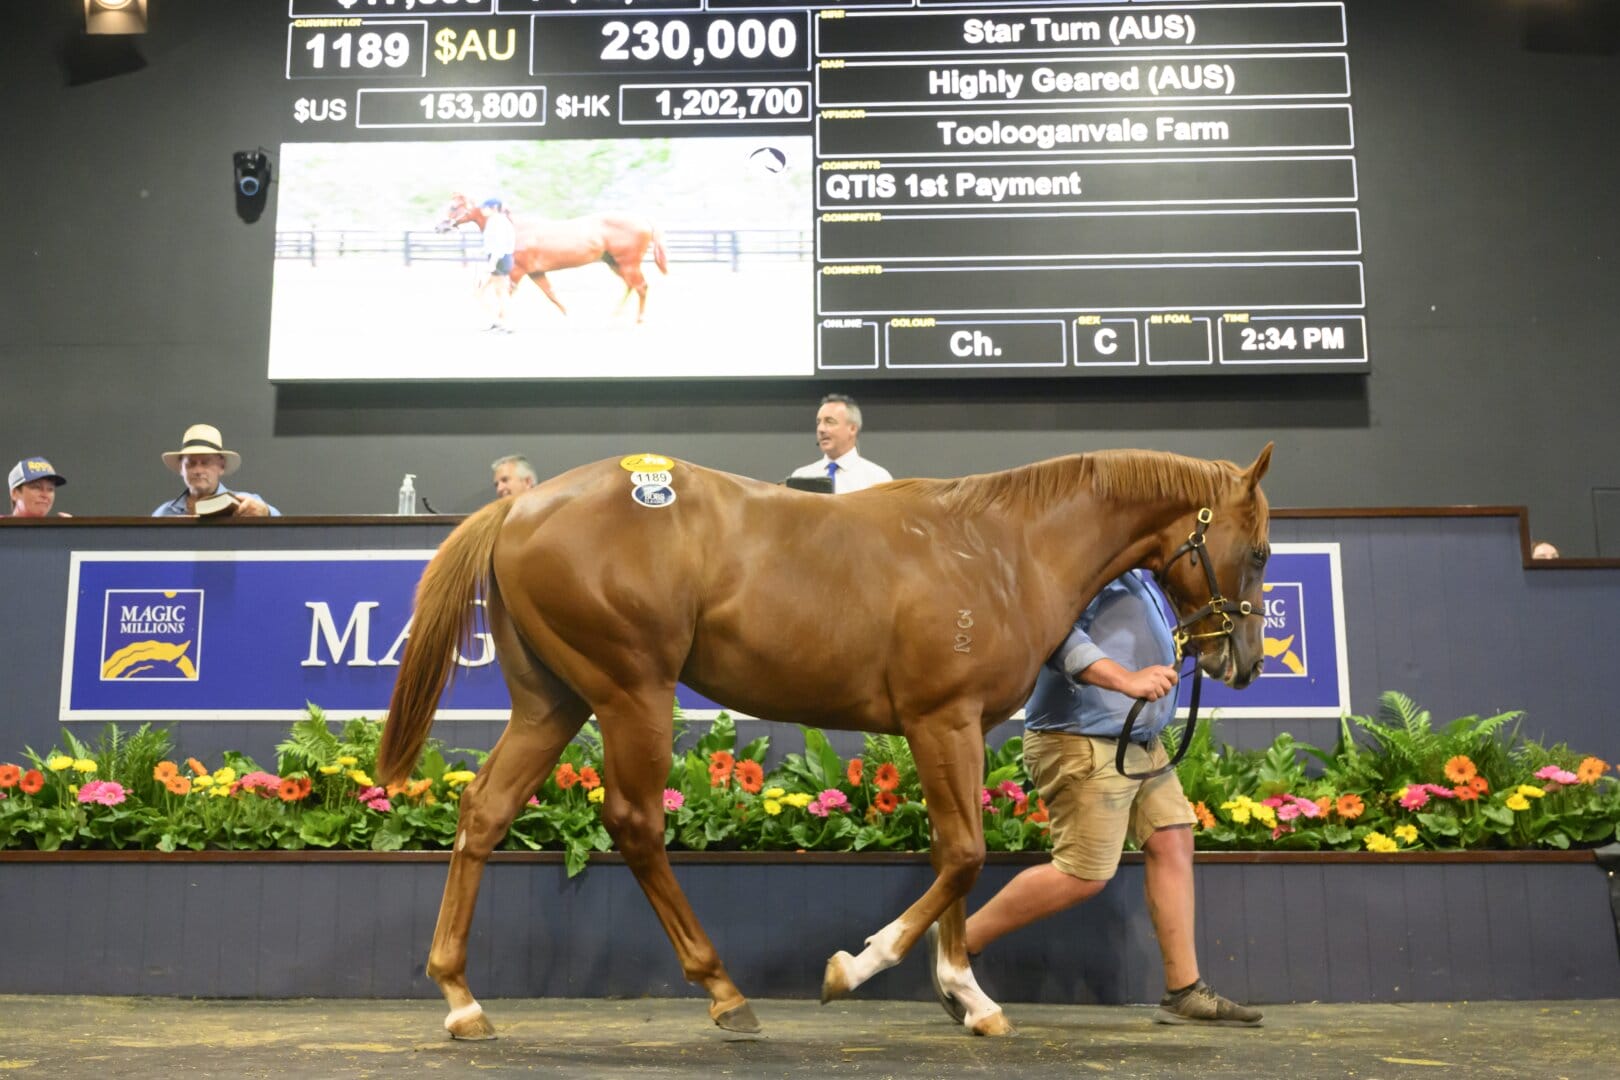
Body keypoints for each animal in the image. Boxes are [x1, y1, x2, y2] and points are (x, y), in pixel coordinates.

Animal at [372, 446, 1270, 1036]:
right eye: (1258, 549)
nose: (1244, 660)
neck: (1001, 549)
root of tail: (519, 507)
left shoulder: (962, 727)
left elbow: (957, 854)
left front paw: (968, 995)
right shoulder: (940, 718)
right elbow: (964, 856)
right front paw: (857, 967)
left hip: (550, 702)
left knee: (484, 811)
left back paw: (461, 998)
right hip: (632, 693)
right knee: (634, 823)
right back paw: (724, 992)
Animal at [434, 194, 667, 323]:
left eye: (453, 207)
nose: (439, 227)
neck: (515, 230)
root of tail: (644, 220)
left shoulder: (517, 272)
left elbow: (507, 295)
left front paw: (498, 322)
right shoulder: (536, 273)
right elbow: (552, 296)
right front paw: (569, 316)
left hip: (628, 263)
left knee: (641, 286)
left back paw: (639, 320)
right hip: (615, 263)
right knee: (631, 286)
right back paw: (614, 315)